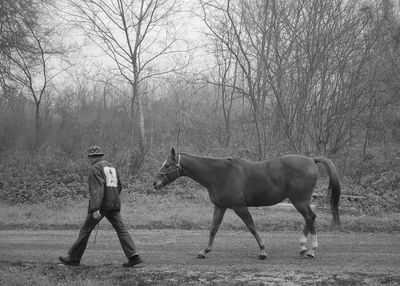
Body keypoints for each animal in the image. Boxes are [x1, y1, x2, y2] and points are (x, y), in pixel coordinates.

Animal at [152, 147, 340, 260]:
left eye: (167, 165)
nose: (155, 183)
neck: (220, 174)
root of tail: (311, 160)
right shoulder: (220, 206)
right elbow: (213, 229)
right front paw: (204, 251)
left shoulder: (239, 207)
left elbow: (251, 227)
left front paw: (262, 251)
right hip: (302, 200)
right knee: (310, 218)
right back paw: (305, 247)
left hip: (299, 200)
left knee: (310, 217)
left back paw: (310, 249)